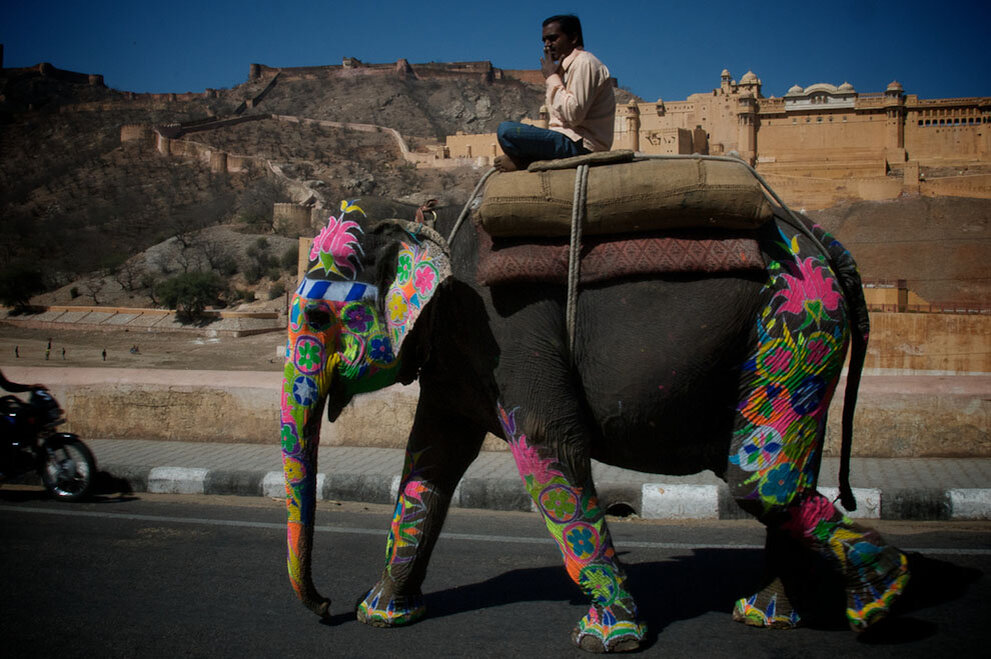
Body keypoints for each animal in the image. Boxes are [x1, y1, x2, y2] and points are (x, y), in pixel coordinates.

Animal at [280, 180, 908, 656]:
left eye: (317, 316)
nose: (326, 606)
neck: (430, 226)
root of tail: (821, 238)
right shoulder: (455, 357)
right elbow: (428, 462)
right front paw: (382, 615)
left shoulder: (507, 332)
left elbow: (548, 445)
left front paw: (609, 640)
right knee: (785, 479)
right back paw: (768, 615)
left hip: (798, 322)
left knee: (760, 482)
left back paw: (881, 600)